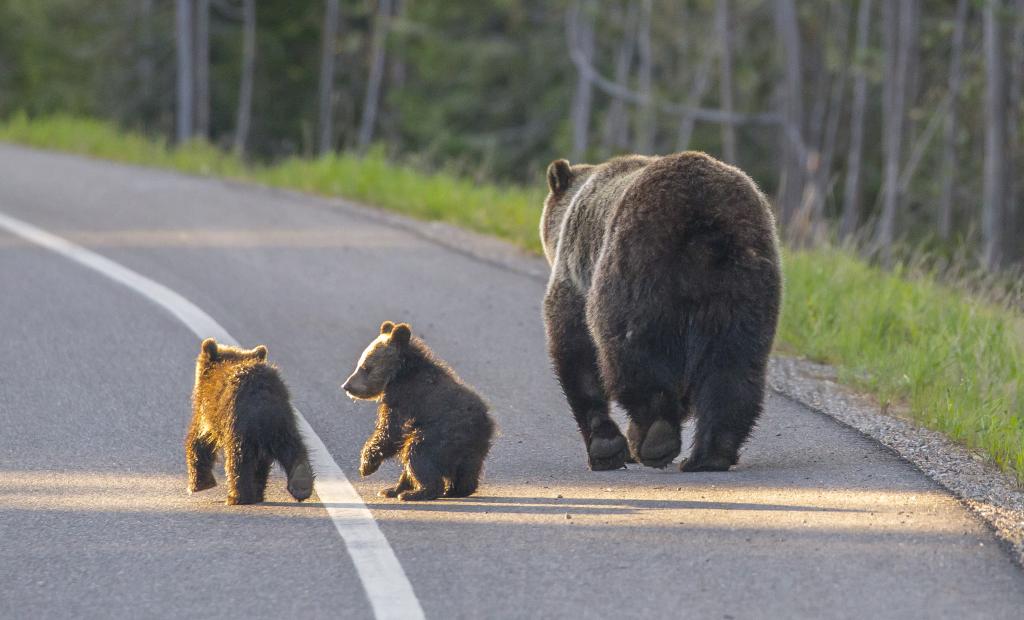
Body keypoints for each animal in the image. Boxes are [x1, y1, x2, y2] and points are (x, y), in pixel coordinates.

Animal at [540, 152, 778, 471]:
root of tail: (705, 219)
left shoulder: (576, 274)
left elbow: (574, 348)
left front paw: (606, 446)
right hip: (744, 282)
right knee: (733, 366)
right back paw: (710, 454)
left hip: (637, 266)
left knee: (632, 355)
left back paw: (656, 437)